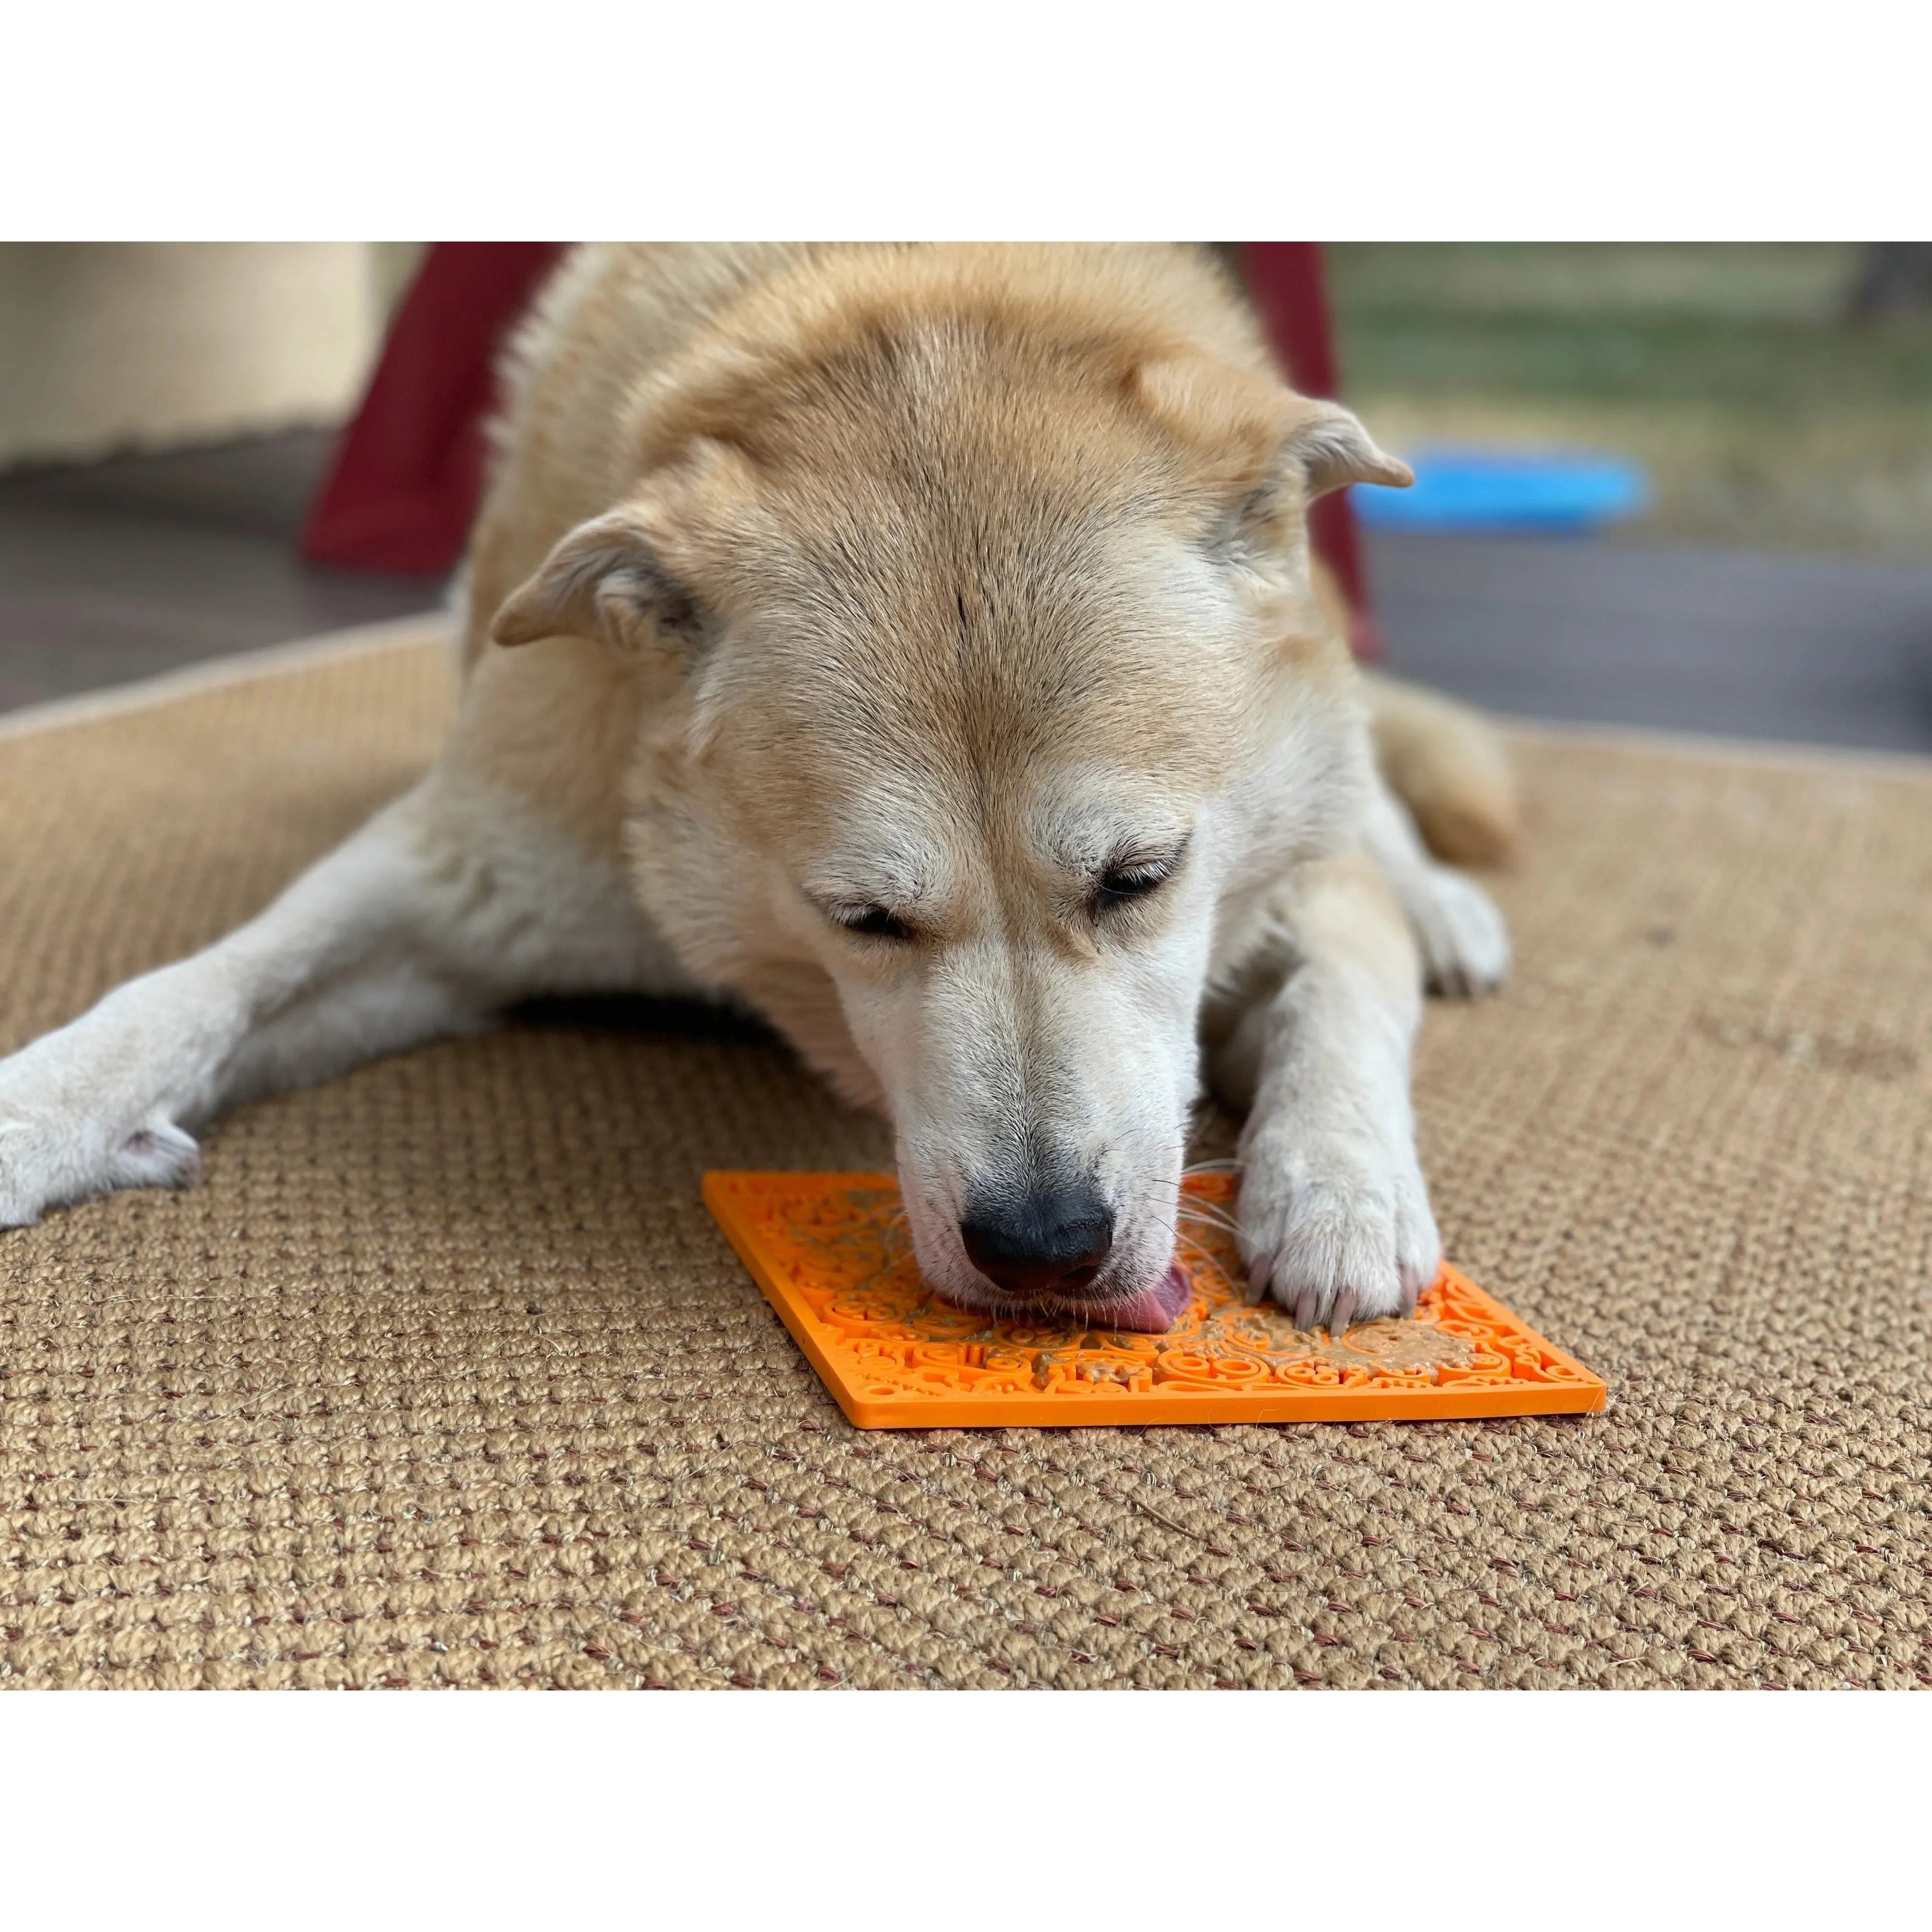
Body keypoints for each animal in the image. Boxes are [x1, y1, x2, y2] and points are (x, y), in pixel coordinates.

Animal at [0, 237, 1506, 1329]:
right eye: (864, 920)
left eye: (1139, 879)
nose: (1042, 1249)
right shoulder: (474, 875)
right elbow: (200, 989)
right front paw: (42, 1113)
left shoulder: (1274, 870)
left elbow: (1340, 977)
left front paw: (1340, 1188)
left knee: (1377, 817)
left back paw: (1447, 909)